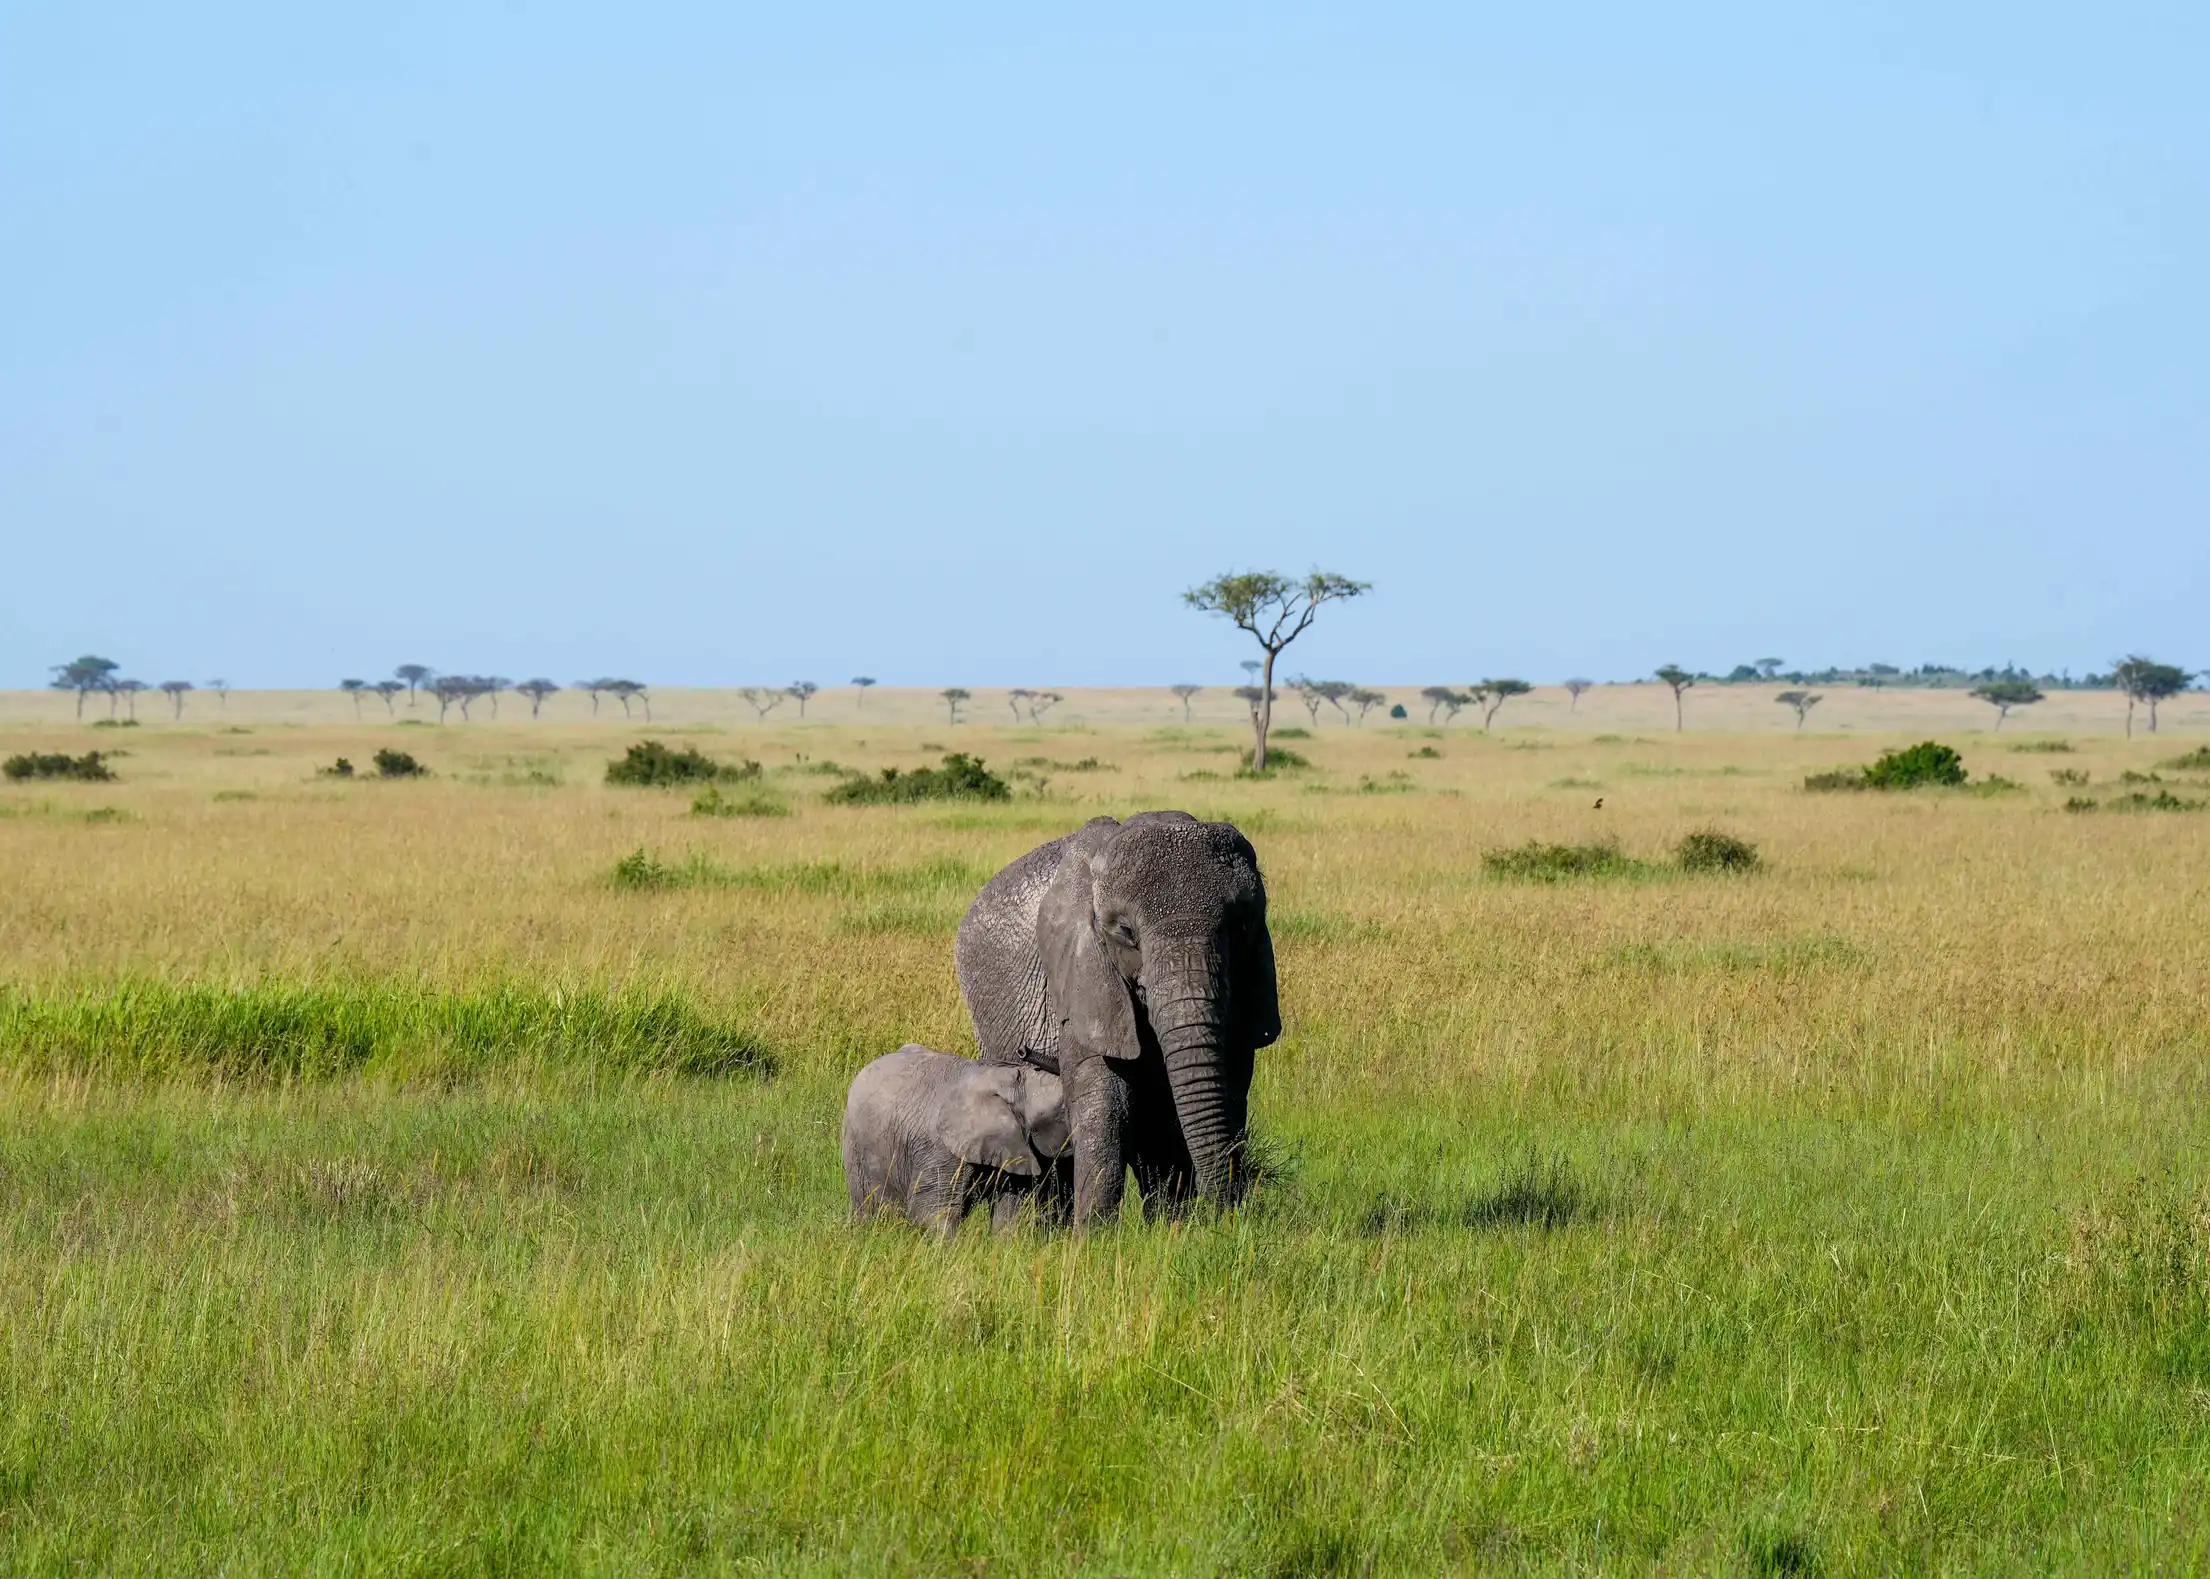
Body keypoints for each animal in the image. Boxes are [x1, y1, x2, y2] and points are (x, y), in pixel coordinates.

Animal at [835, 1043, 1069, 1229]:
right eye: (1064, 1110)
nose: (1023, 1050)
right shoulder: (940, 1148)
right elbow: (930, 1210)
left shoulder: (1013, 1144)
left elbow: (1010, 1206)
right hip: (857, 1146)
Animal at [950, 813, 1281, 1220]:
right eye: (1125, 932)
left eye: (1241, 926)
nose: (1225, 1214)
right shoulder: (1082, 976)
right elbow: (1107, 1101)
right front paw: (1096, 1234)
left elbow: (1223, 1088)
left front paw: (1179, 1229)